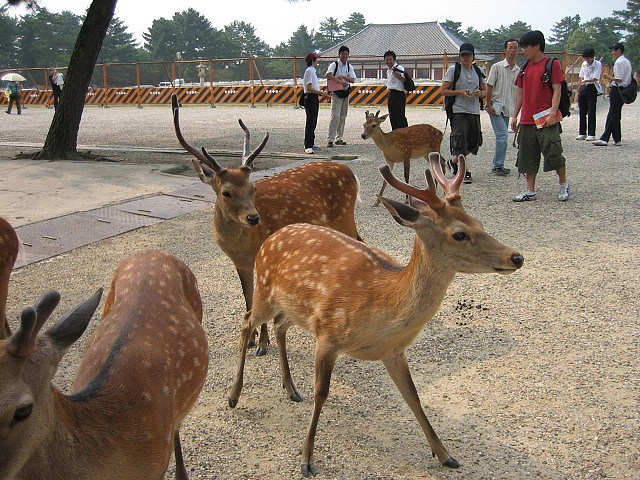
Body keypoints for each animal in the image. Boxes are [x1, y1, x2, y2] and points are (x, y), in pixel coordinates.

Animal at [171, 93, 362, 355]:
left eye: (252, 187)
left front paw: (262, 343)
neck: (240, 245)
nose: (254, 218)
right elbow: (247, 296)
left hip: (344, 216)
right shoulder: (240, 262)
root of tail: (352, 173)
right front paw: (252, 340)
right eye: (226, 192)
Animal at [228, 153, 524, 476]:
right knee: (247, 321)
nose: (516, 257)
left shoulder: (393, 351)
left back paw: (291, 389)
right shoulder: (328, 335)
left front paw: (446, 454)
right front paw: (306, 459)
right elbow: (321, 393)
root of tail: (271, 237)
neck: (380, 306)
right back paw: (234, 396)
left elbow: (413, 396)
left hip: (295, 308)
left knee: (280, 325)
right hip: (264, 291)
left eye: (479, 222)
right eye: (459, 233)